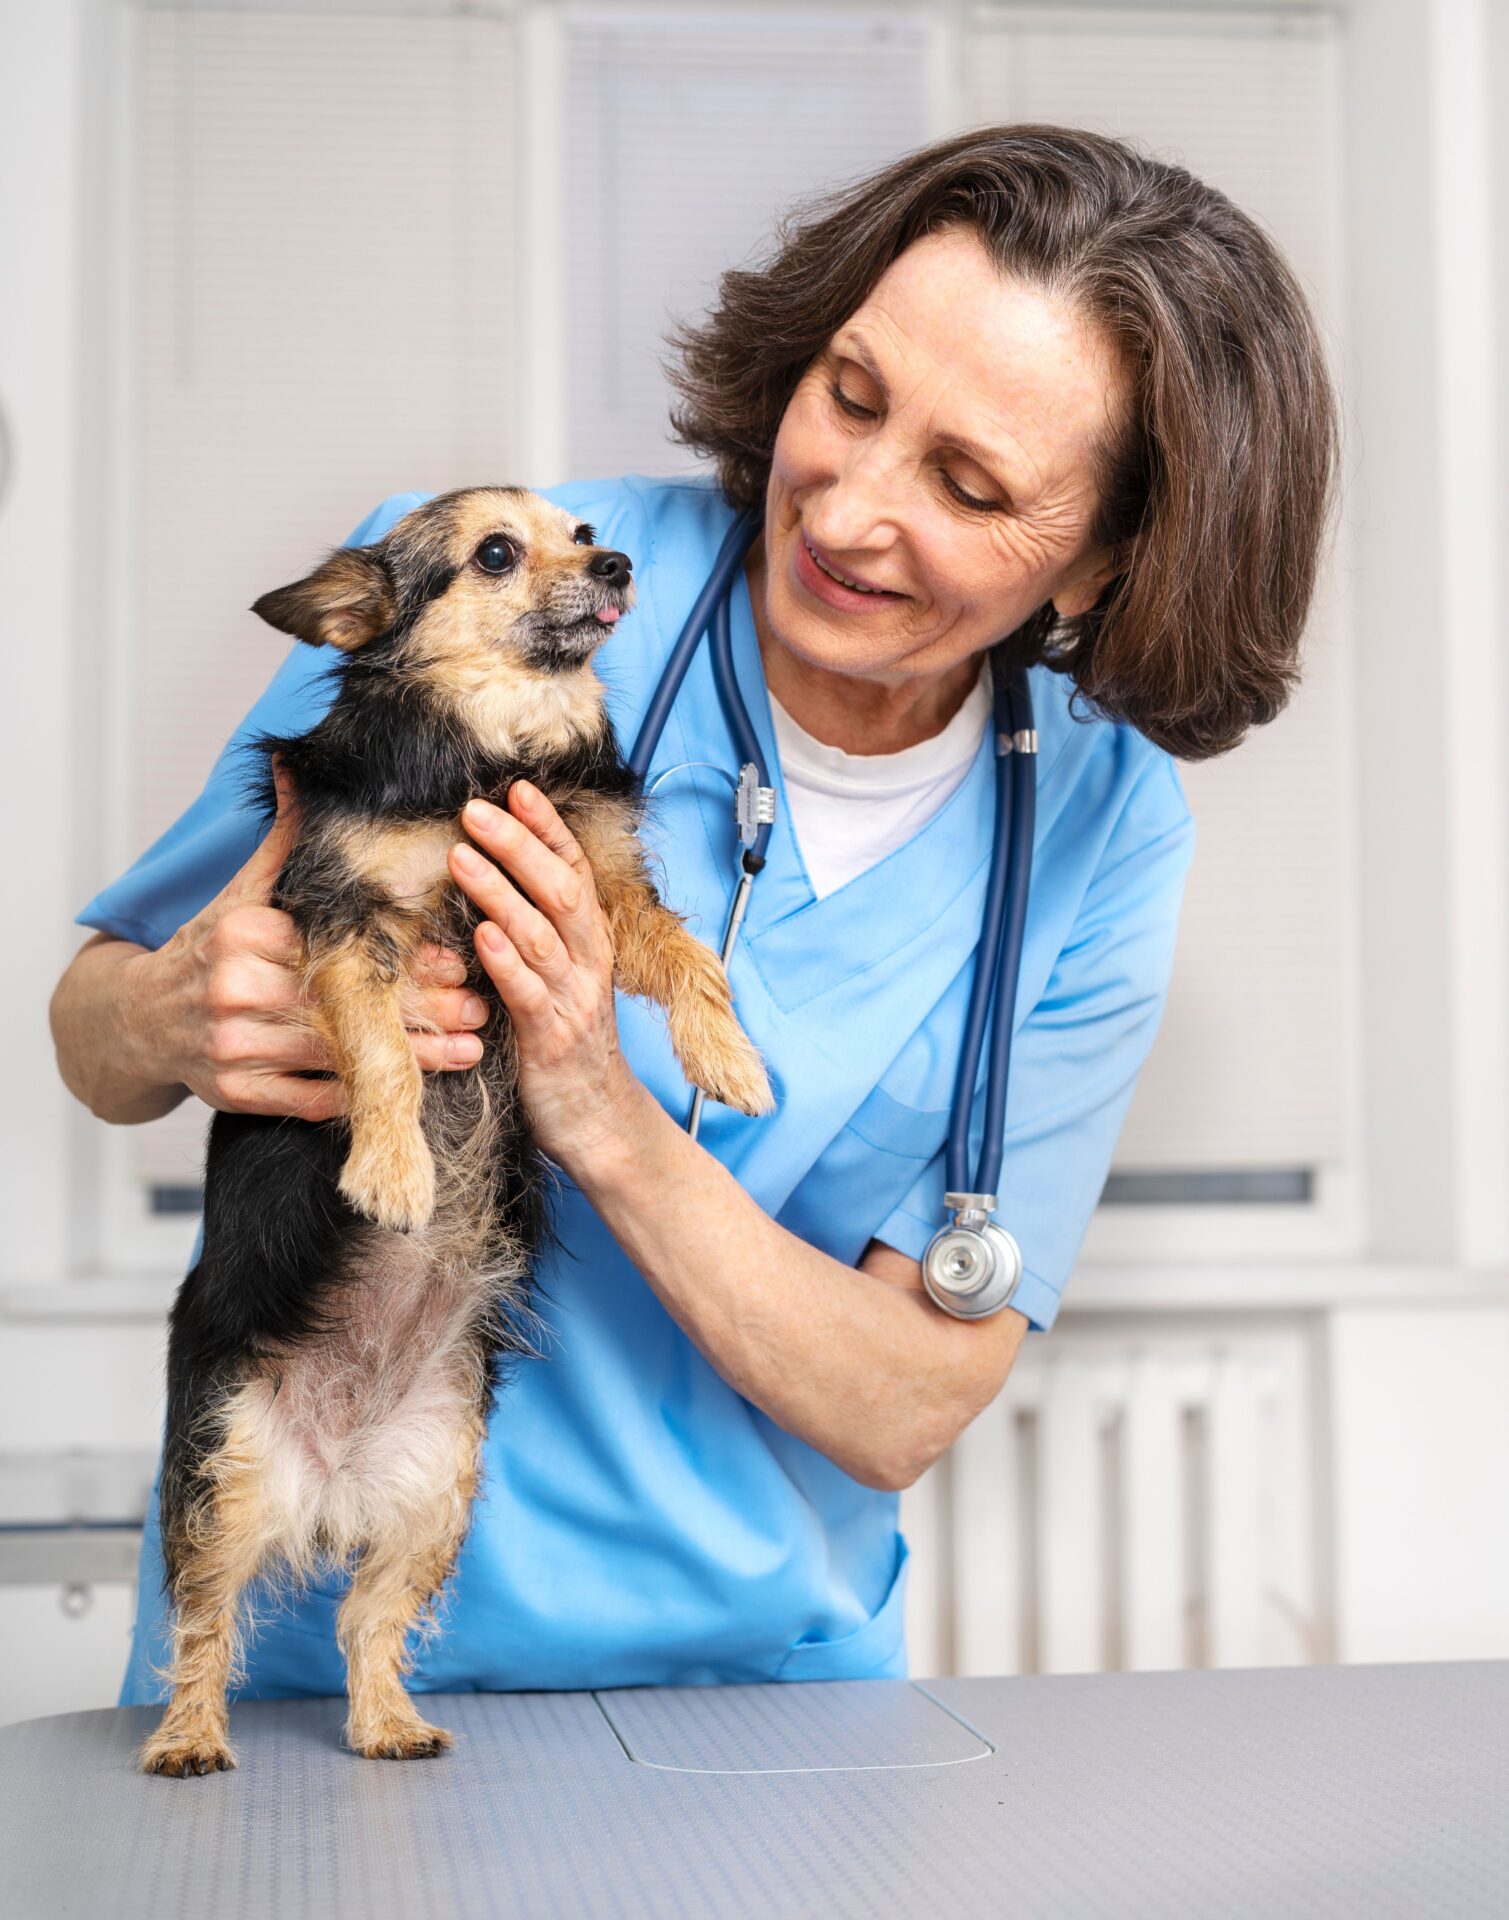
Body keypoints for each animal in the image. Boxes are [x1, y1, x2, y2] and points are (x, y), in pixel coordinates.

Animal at [136, 487, 771, 1774]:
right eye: (495, 553)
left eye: (583, 531)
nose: (620, 562)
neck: (493, 749)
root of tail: (331, 1481)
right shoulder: (349, 923)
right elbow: (381, 1052)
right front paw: (392, 1171)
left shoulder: (597, 890)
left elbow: (688, 956)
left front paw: (730, 1056)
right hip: (222, 1465)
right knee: (205, 1620)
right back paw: (186, 1738)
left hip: (439, 1487)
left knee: (366, 1621)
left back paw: (388, 1725)